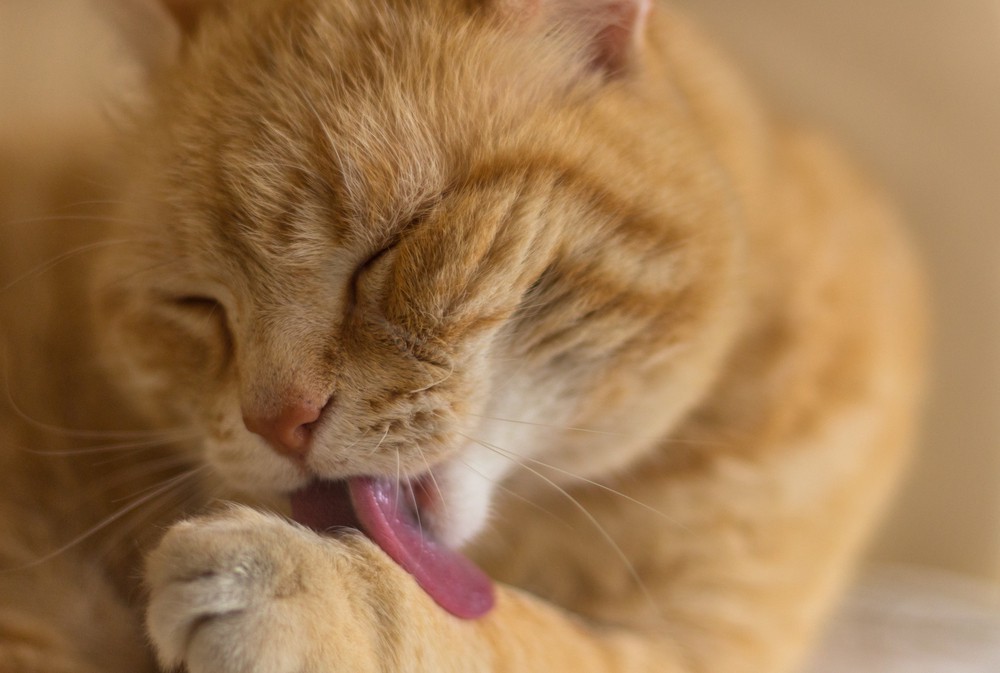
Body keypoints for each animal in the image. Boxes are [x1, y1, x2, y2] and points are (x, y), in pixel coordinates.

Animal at [0, 0, 924, 668]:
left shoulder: (704, 638)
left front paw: (306, 589)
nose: (278, 419)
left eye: (394, 245)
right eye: (196, 303)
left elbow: (515, 631)